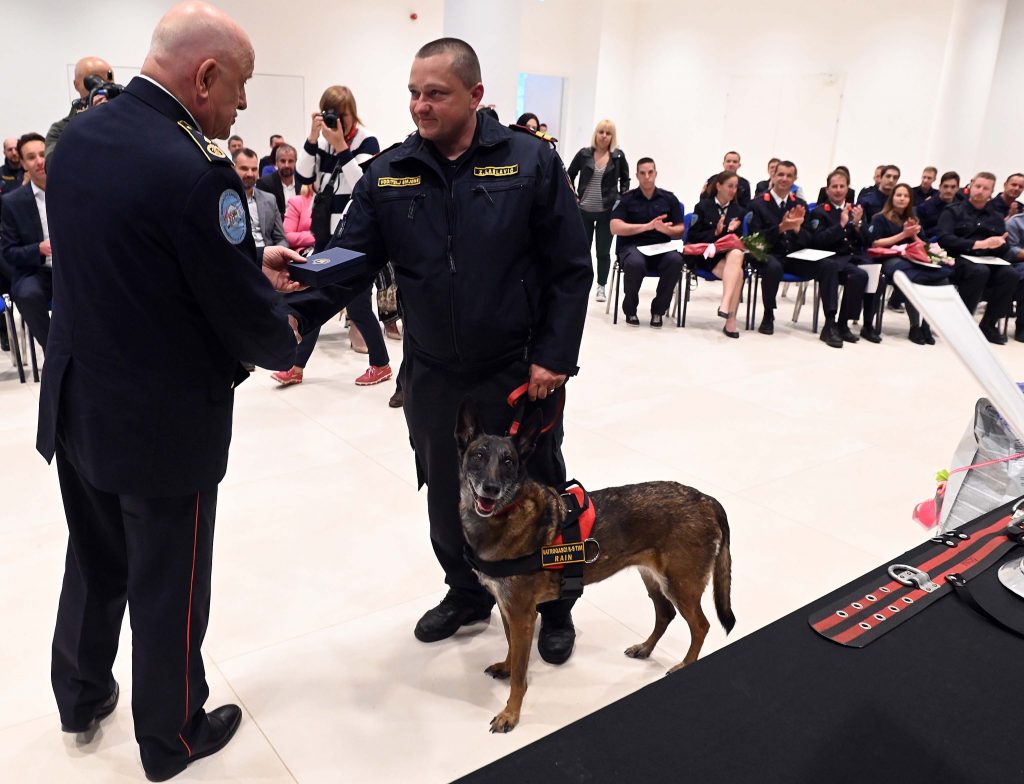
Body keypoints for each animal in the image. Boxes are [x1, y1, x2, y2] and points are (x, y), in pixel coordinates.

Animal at [458, 401, 737, 732]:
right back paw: (645, 648)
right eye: (478, 456)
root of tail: (706, 499)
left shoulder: (522, 615)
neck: (503, 517)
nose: (490, 489)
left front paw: (510, 713)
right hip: (653, 577)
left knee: (701, 626)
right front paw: (505, 666)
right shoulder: (507, 607)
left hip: (680, 584)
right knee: (665, 614)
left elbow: (520, 674)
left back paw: (685, 665)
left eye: (509, 462)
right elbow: (512, 651)